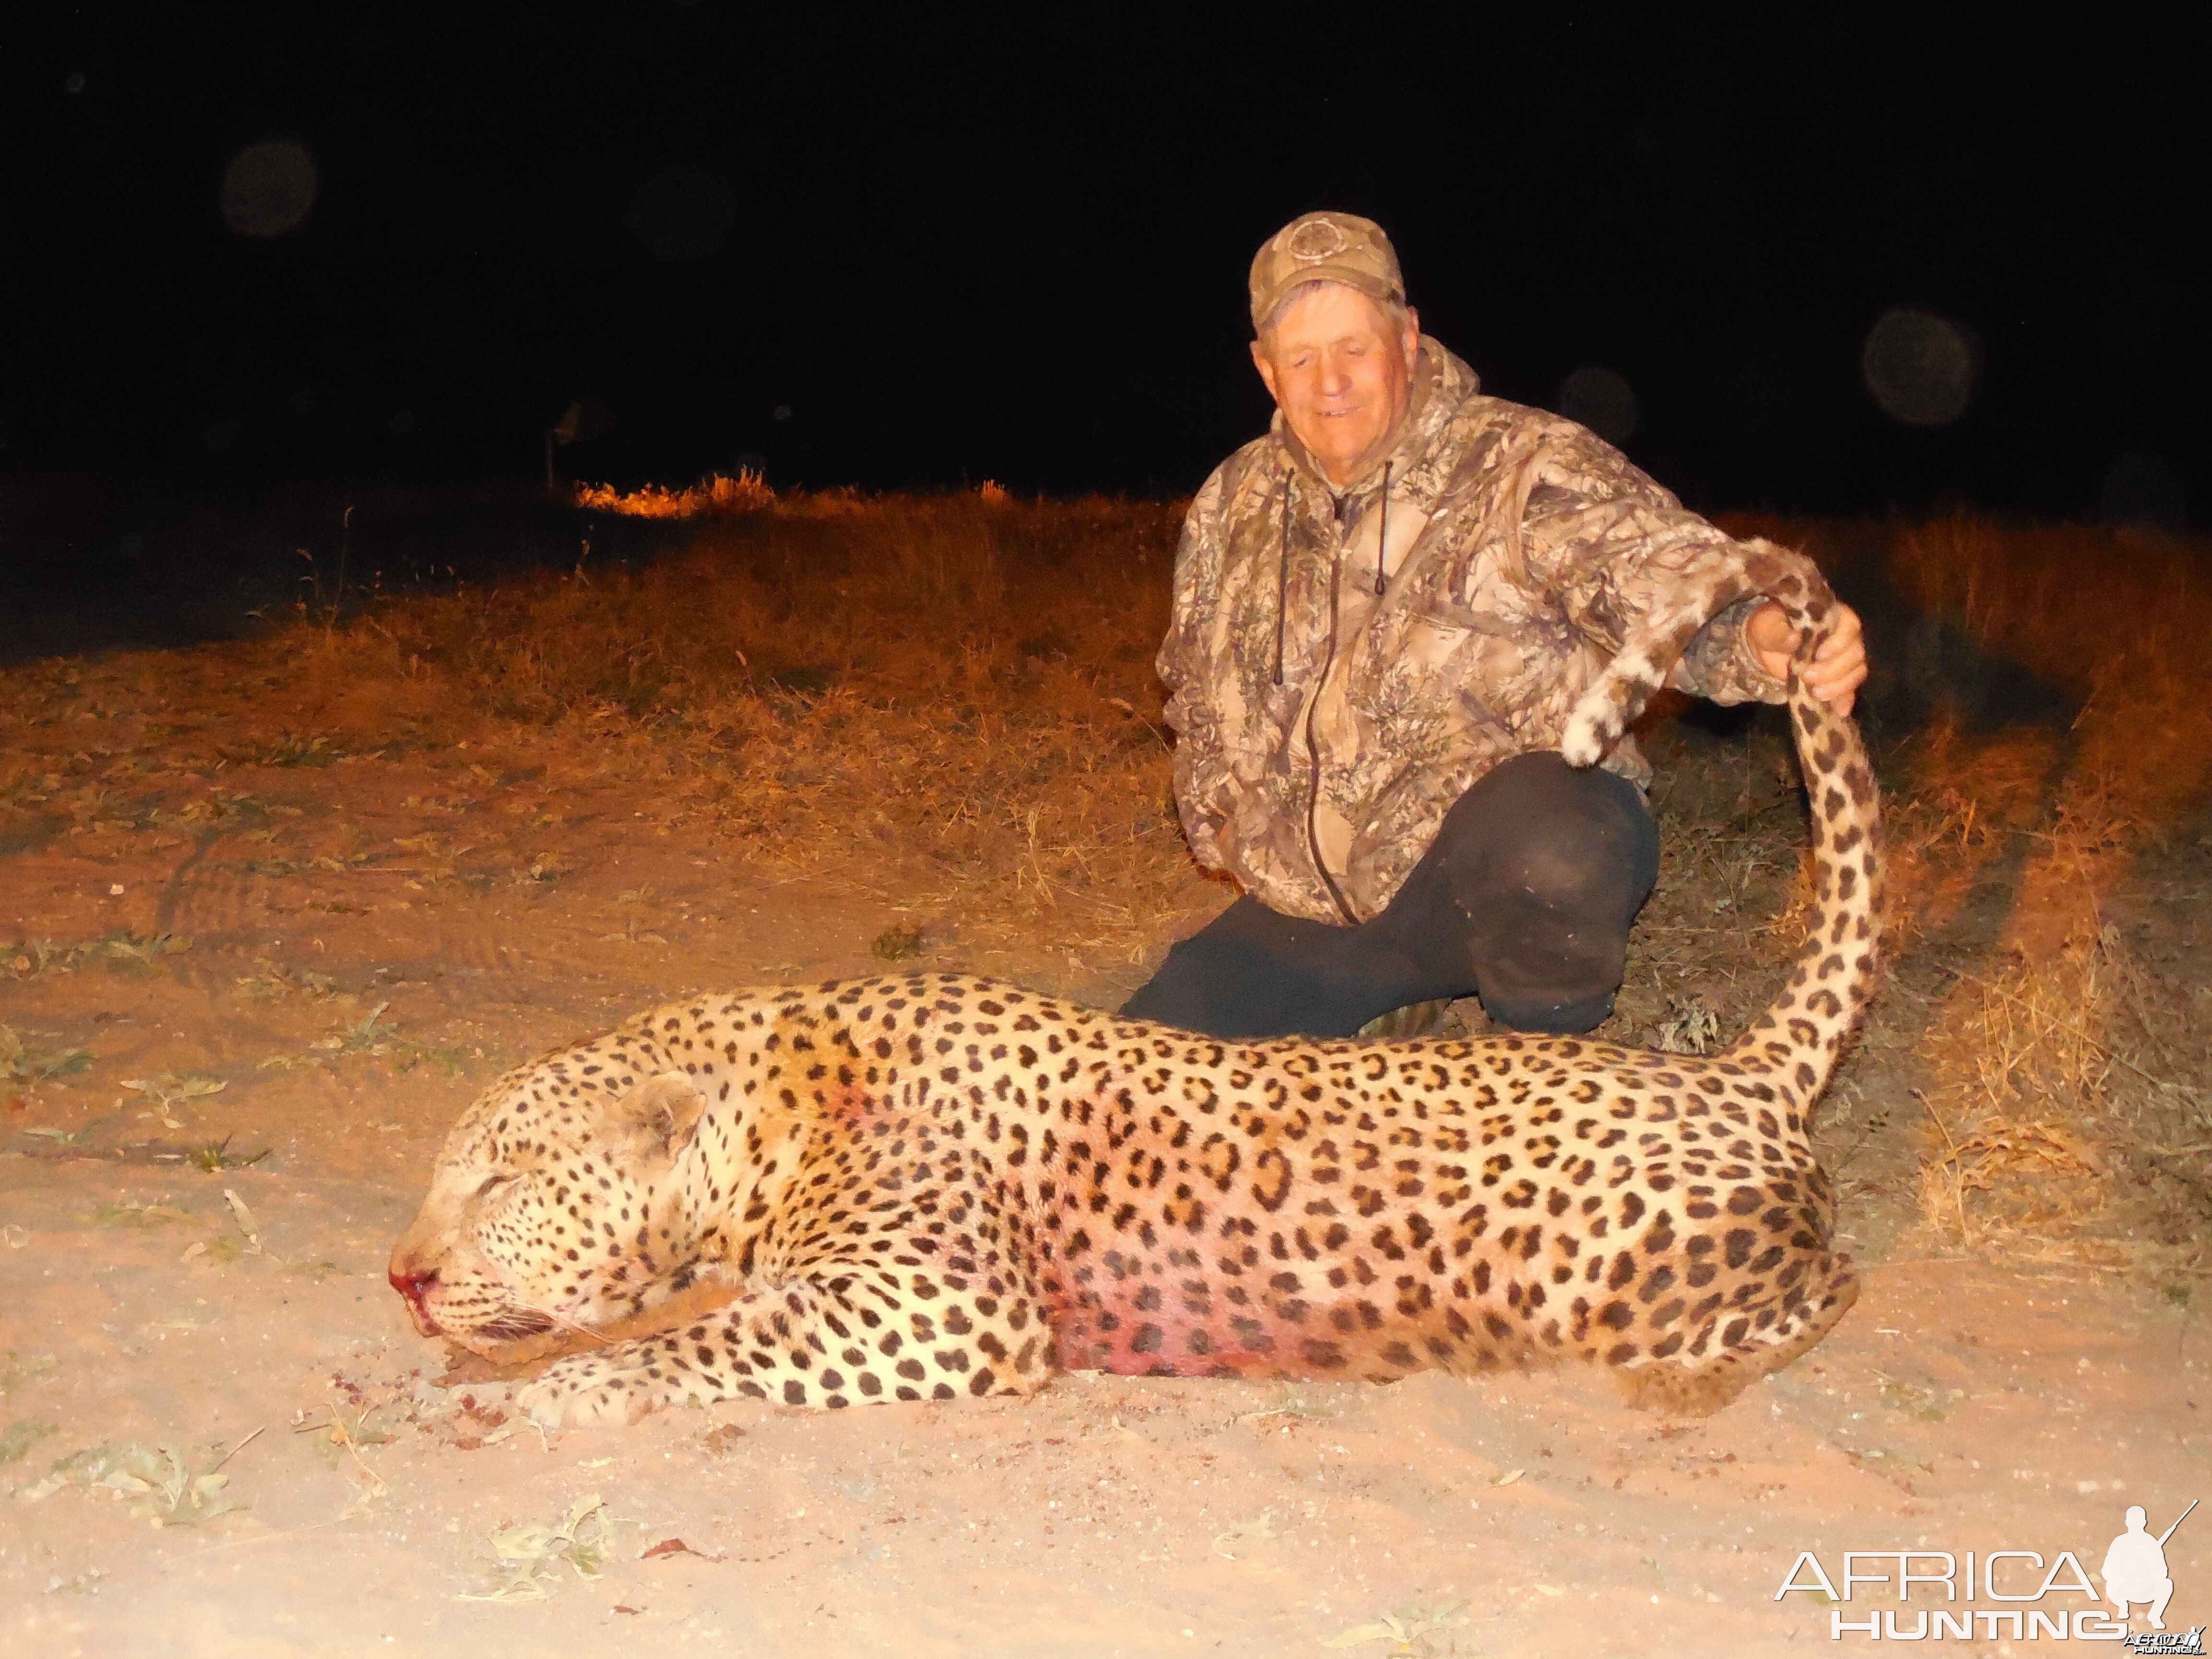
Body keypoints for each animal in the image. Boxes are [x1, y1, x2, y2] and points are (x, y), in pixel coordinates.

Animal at [389, 541, 1875, 1433]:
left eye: (502, 1178)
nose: (403, 1278)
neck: (772, 1112)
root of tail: (1741, 1069)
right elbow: (686, 1311)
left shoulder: (943, 1307)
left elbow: (685, 1346)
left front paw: (537, 1390)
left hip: (1619, 1273)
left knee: (1832, 1285)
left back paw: (1694, 1381)